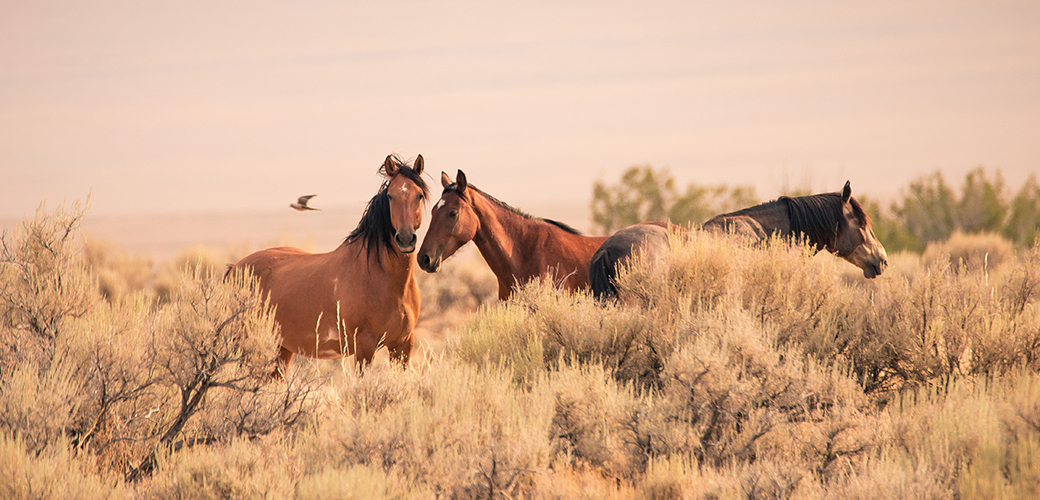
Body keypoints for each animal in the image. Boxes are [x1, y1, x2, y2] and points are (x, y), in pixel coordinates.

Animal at [227, 153, 426, 372]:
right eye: (390, 196)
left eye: (419, 195)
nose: (405, 239)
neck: (383, 277)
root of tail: (236, 267)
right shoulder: (365, 346)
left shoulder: (402, 345)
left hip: (282, 348)